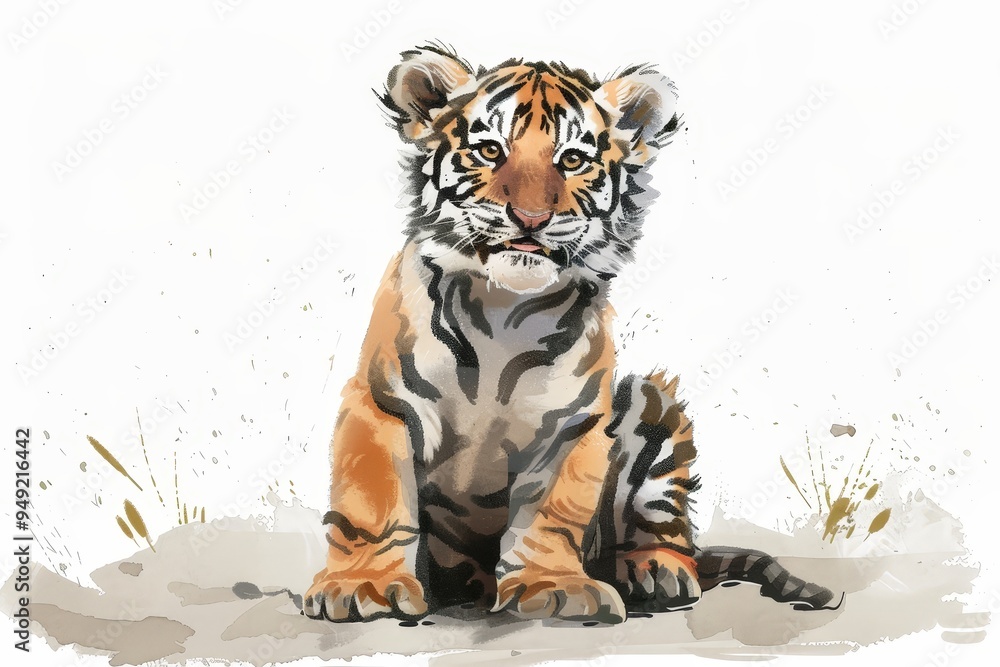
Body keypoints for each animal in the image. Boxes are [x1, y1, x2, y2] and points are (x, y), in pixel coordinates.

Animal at [303, 44, 838, 623]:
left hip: (651, 403)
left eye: (573, 160)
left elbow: (552, 513)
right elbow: (371, 503)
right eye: (489, 150)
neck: (501, 310)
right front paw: (363, 585)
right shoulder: (383, 401)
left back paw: (657, 569)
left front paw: (550, 585)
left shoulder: (573, 424)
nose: (530, 218)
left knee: (662, 524)